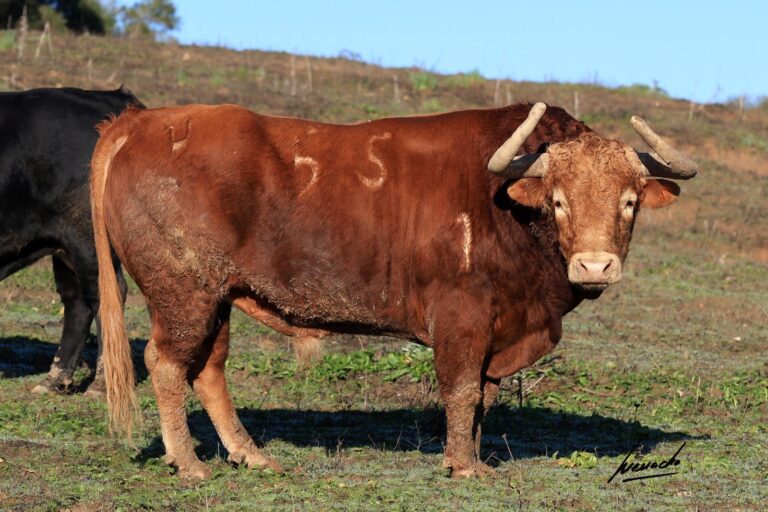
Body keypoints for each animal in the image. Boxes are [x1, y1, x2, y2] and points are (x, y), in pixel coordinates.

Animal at [0, 86, 141, 394]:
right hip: (63, 245)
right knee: (76, 301)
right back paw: (54, 379)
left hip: (87, 240)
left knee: (105, 295)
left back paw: (101, 383)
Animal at [91, 102, 697, 479]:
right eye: (558, 200)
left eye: (629, 201)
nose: (595, 266)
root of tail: (143, 121)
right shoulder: (462, 317)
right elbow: (462, 390)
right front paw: (461, 465)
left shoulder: (497, 331)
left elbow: (485, 396)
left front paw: (474, 456)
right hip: (183, 294)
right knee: (167, 363)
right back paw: (189, 463)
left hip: (216, 299)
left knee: (208, 369)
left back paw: (249, 455)